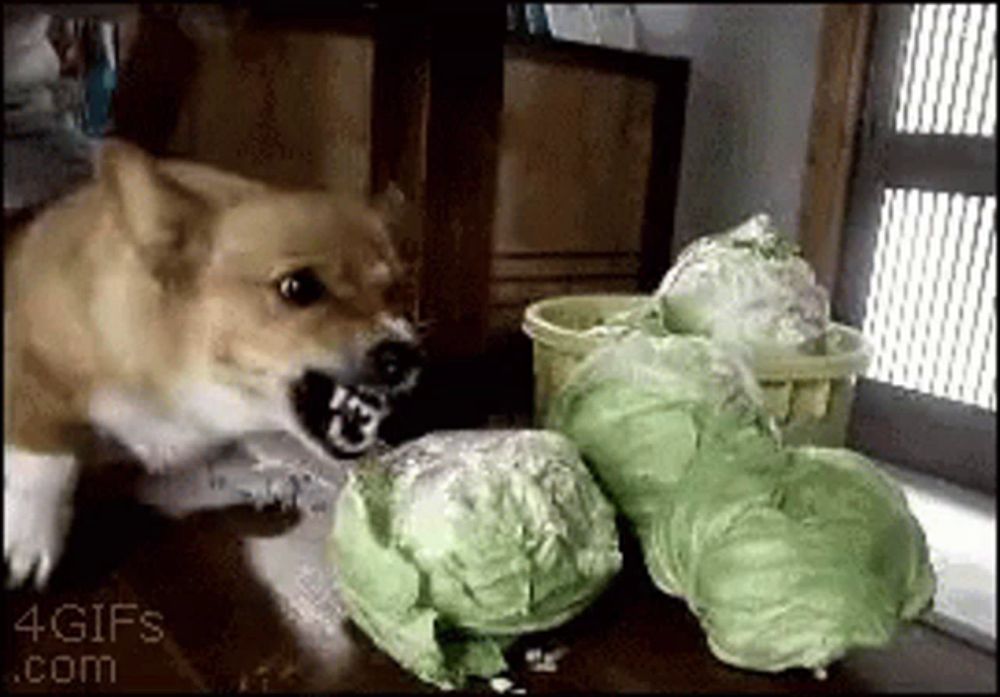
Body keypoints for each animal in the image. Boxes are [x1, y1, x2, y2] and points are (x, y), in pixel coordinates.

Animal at [3, 140, 420, 588]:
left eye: (396, 292)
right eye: (298, 287)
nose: (405, 355)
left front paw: (259, 475)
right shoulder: (29, 358)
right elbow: (47, 445)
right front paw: (31, 531)